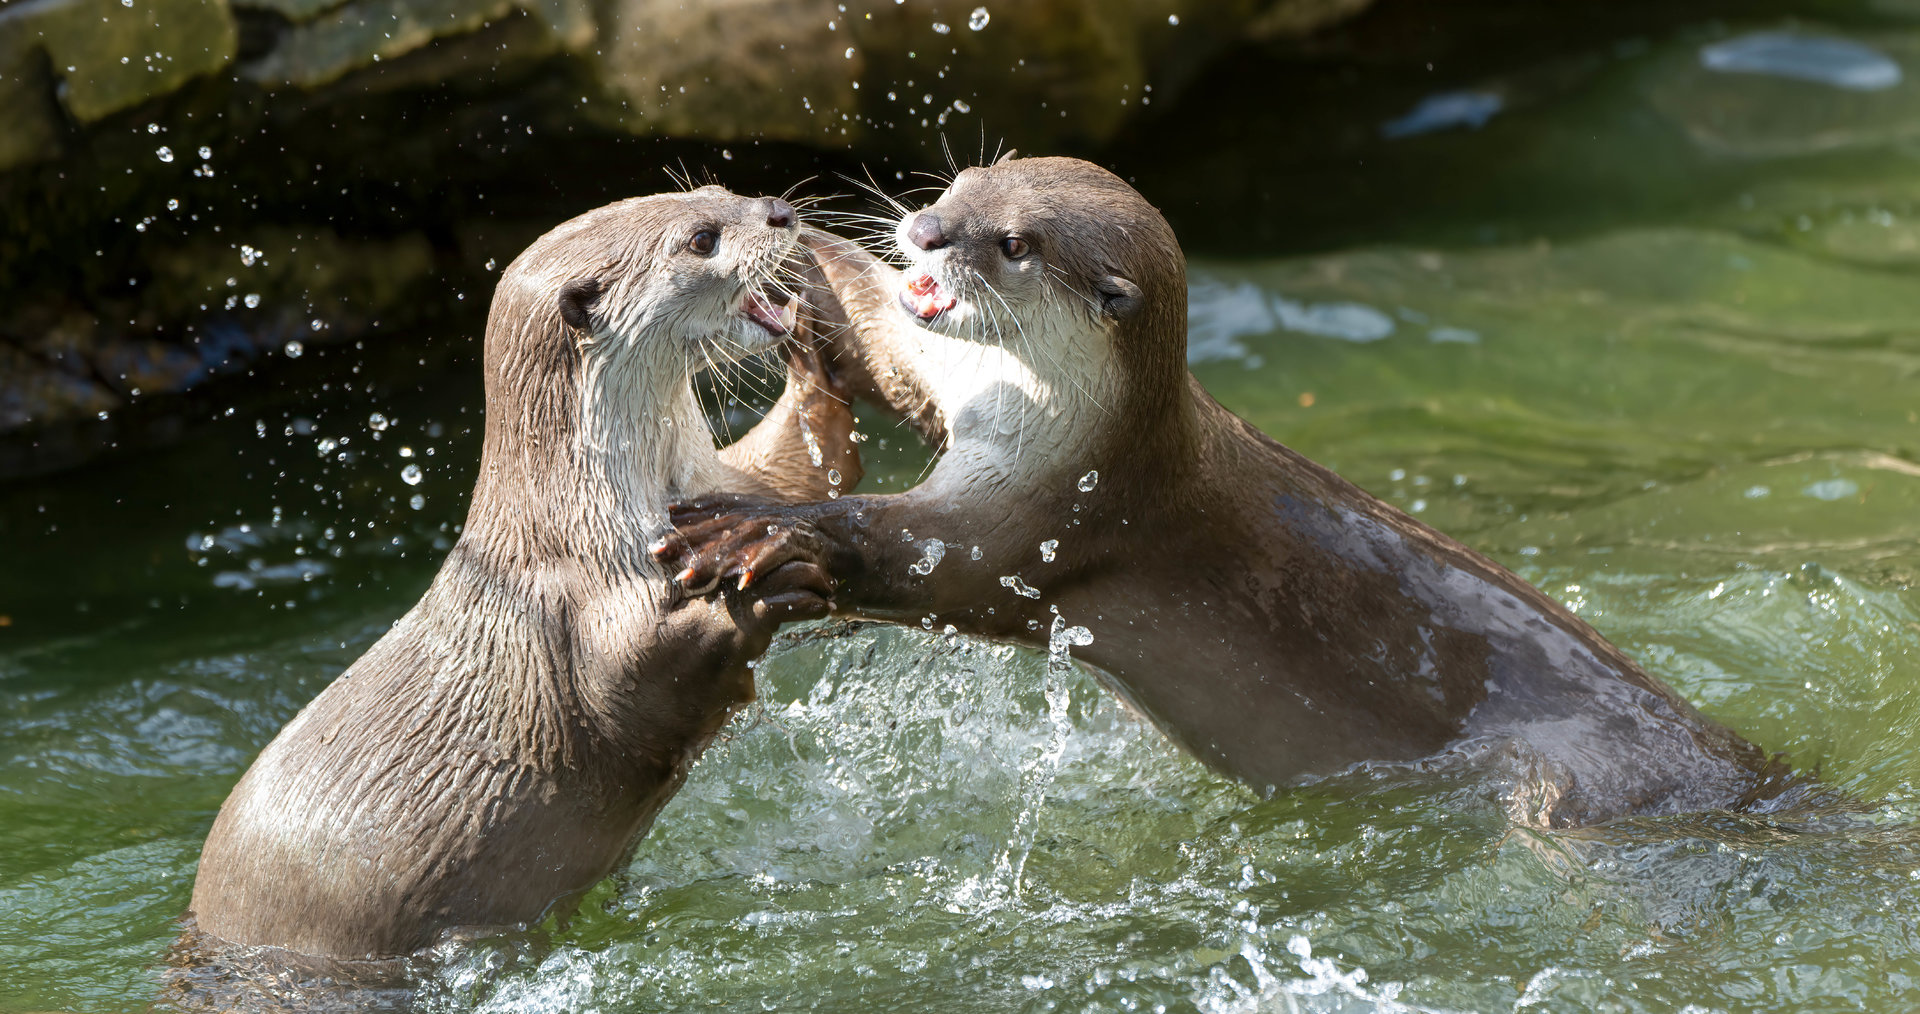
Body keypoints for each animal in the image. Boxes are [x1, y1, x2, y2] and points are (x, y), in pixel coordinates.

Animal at [187, 187, 862, 961]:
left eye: (719, 191)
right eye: (701, 238)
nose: (780, 211)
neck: (584, 508)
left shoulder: (723, 481)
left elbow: (793, 476)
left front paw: (817, 350)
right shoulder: (572, 599)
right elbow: (632, 680)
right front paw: (765, 585)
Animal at [659, 156, 1795, 827]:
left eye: (1016, 244)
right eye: (966, 179)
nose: (929, 230)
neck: (1080, 429)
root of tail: (1732, 768)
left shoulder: (1047, 518)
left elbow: (911, 556)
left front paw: (753, 528)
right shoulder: (960, 399)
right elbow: (892, 348)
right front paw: (797, 250)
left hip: (1573, 789)